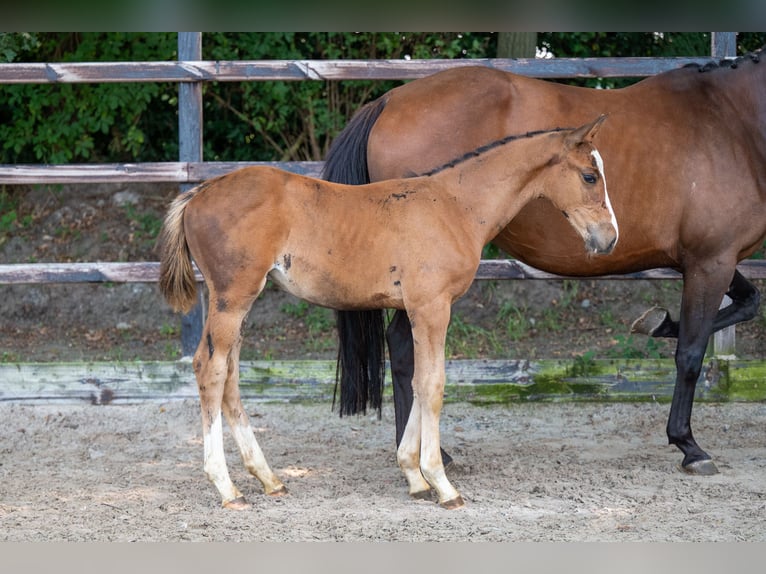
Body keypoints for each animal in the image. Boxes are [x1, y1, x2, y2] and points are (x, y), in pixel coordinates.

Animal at [158, 116, 616, 508]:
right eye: (589, 176)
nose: (609, 238)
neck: (456, 205)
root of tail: (196, 194)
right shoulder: (432, 308)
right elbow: (433, 384)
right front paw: (442, 484)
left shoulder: (416, 309)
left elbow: (416, 379)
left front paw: (414, 477)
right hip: (232, 297)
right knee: (210, 369)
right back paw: (227, 487)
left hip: (239, 302)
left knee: (230, 375)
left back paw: (269, 479)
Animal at [328, 47, 766, 476]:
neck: (730, 122)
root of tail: (389, 101)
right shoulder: (710, 261)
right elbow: (691, 353)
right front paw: (689, 446)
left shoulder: (710, 260)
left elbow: (747, 304)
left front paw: (658, 323)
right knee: (405, 351)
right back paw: (432, 457)